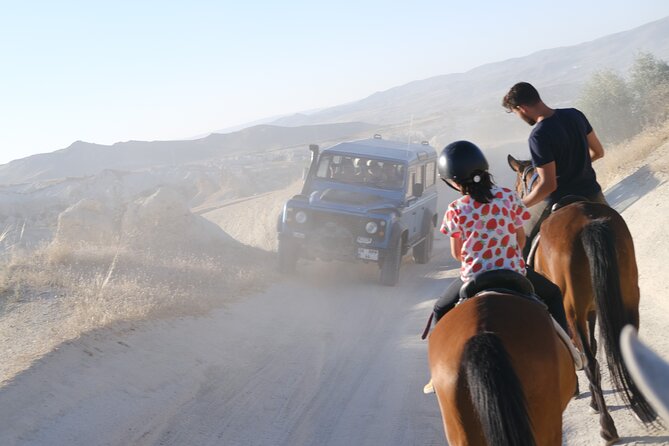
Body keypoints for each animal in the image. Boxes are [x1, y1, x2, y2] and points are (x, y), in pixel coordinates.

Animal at [508, 155, 656, 440]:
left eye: (519, 184)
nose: (520, 199)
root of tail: (588, 221)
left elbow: (581, 352)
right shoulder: (592, 310)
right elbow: (596, 348)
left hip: (572, 311)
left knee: (587, 360)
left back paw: (607, 427)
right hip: (628, 296)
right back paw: (640, 405)